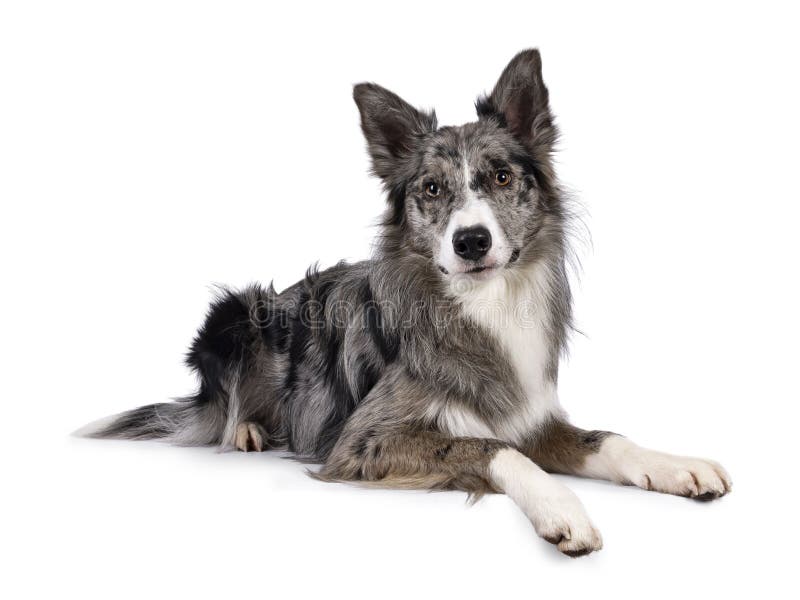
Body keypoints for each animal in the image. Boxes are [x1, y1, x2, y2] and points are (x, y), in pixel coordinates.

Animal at [79, 49, 732, 556]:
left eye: (500, 177)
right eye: (433, 189)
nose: (471, 241)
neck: (483, 304)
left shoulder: (528, 413)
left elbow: (604, 438)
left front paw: (675, 464)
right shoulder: (364, 440)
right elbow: (492, 449)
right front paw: (562, 509)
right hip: (237, 316)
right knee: (222, 402)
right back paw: (246, 431)